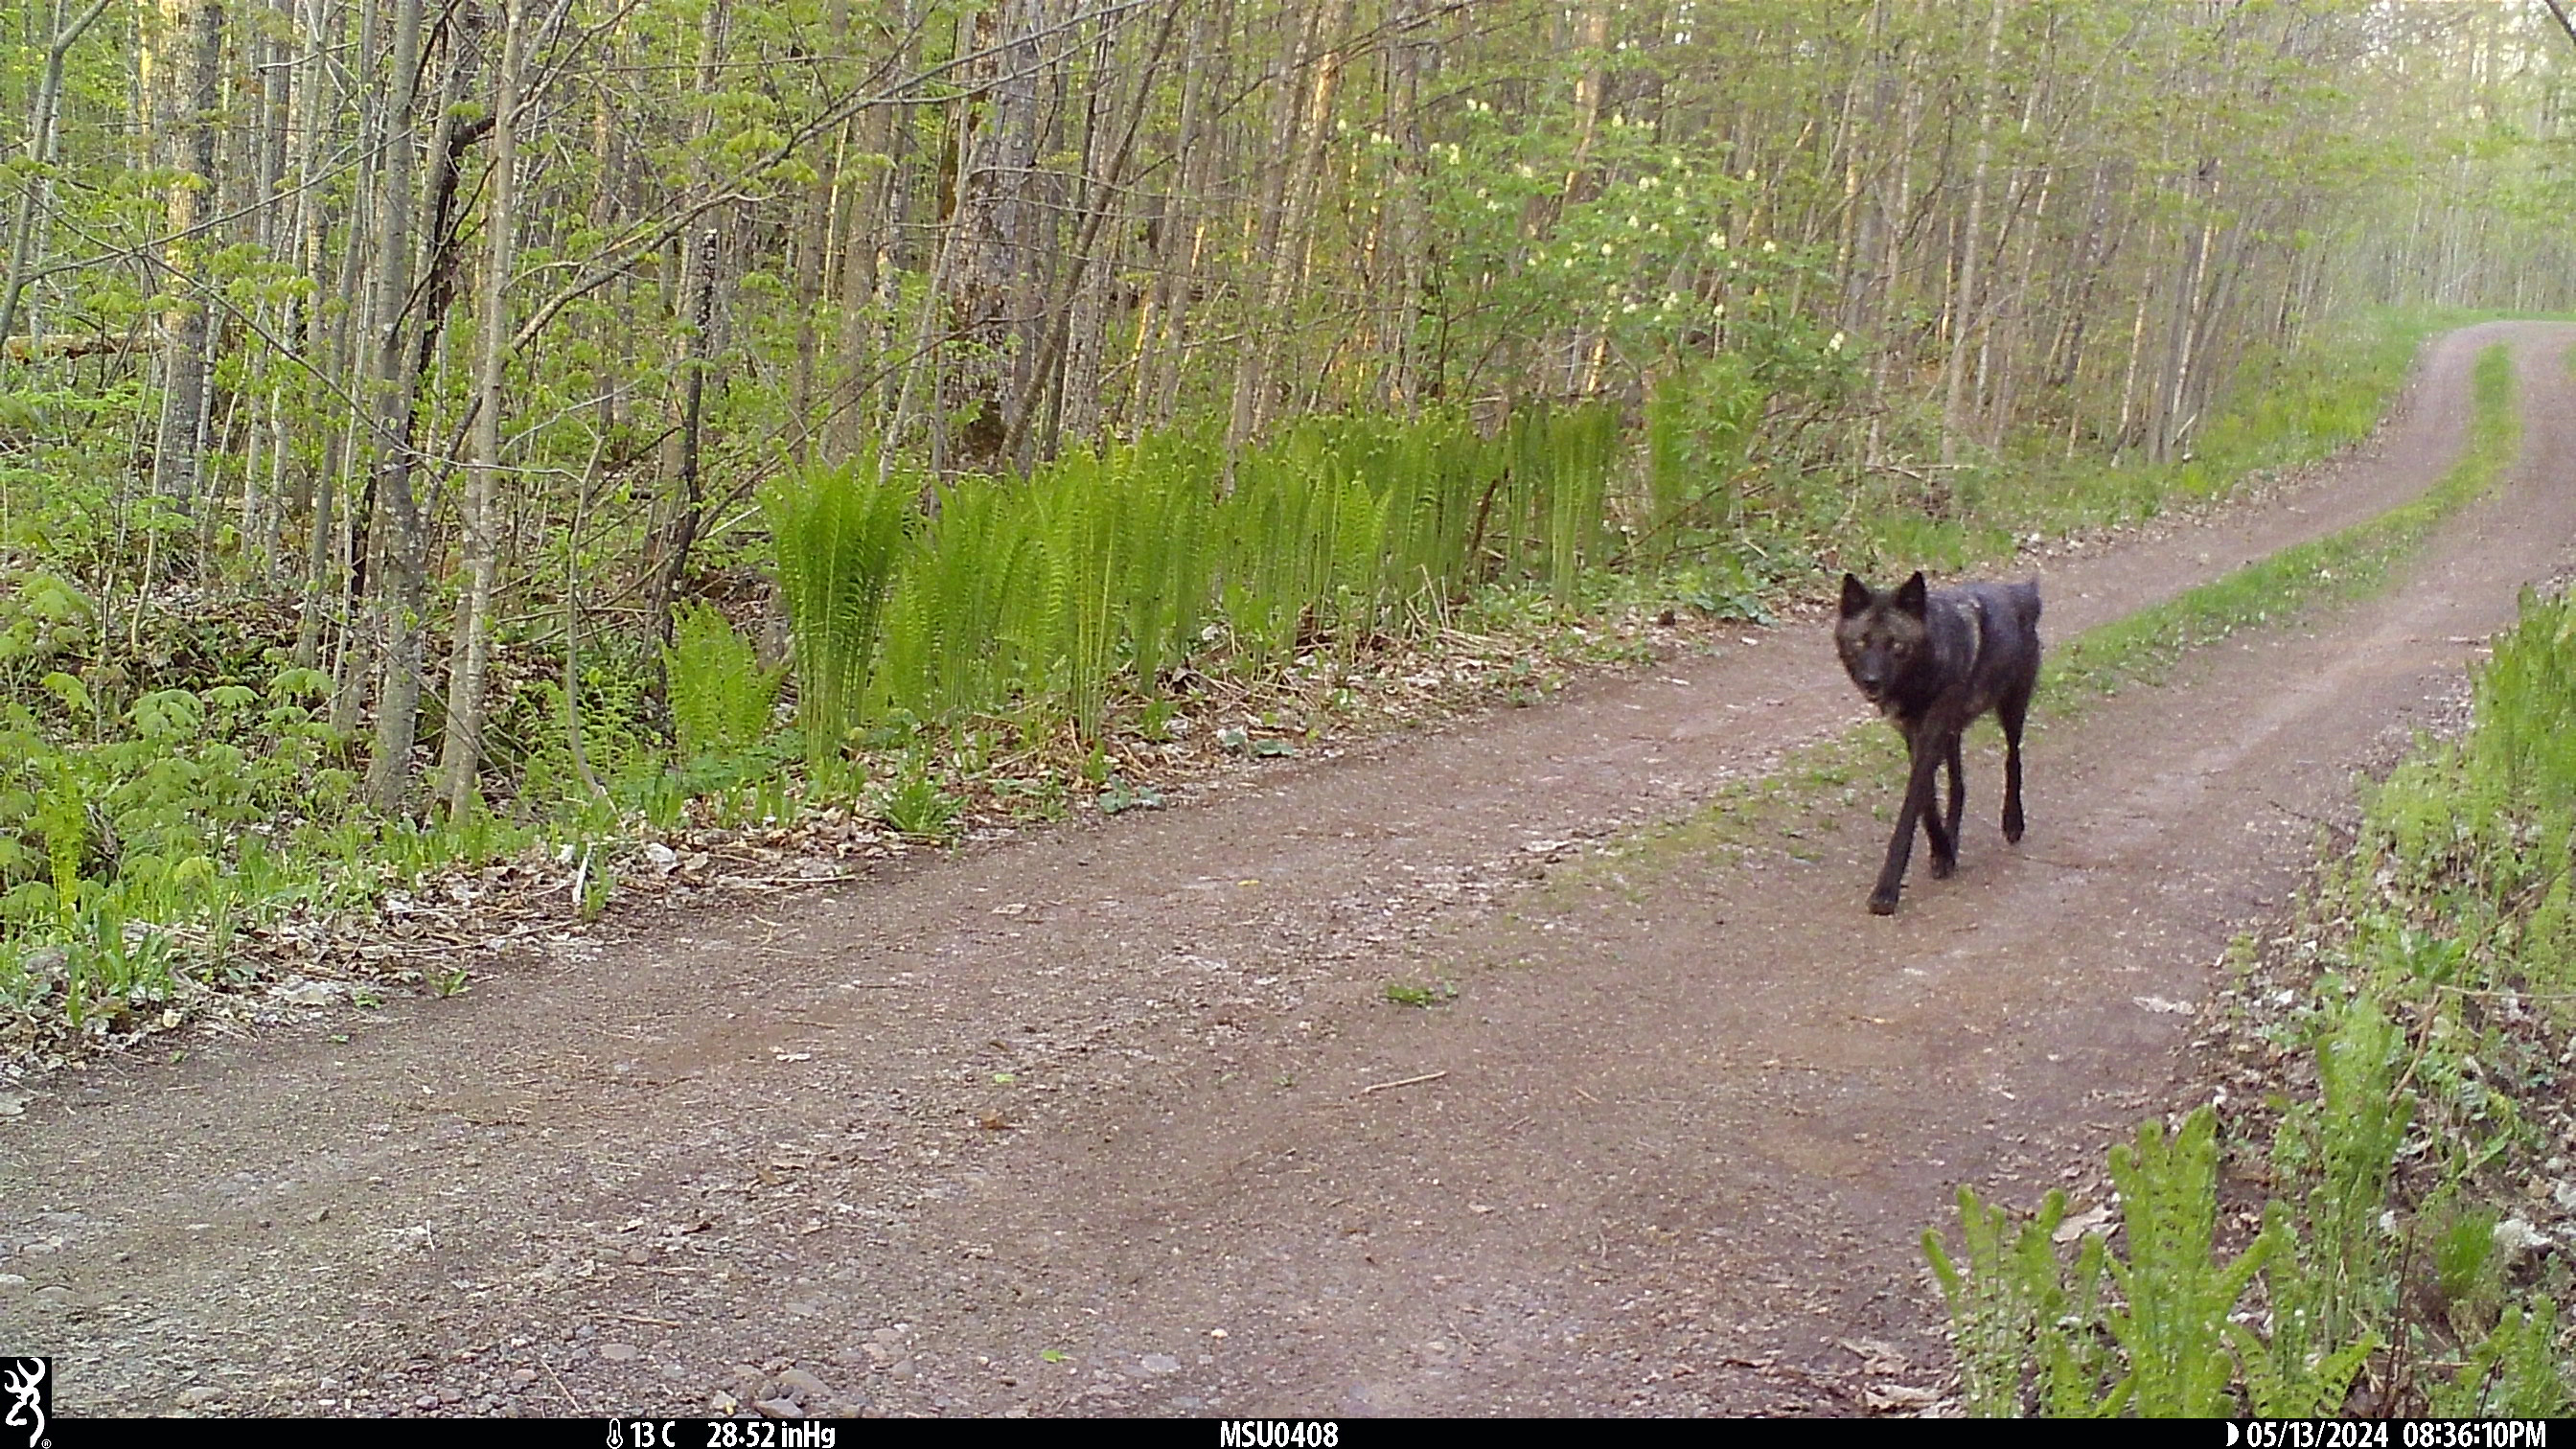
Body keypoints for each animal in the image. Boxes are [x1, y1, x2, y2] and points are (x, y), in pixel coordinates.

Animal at [1834, 571, 2042, 915]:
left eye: (1895, 644)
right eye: (1861, 641)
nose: (1871, 682)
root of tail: (2020, 591)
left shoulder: (1931, 735)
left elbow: (1910, 812)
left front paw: (1886, 891)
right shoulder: (1914, 737)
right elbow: (1928, 802)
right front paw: (1943, 851)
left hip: (2010, 709)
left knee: (2013, 759)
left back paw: (2013, 821)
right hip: (1953, 732)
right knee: (1958, 784)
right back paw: (1952, 838)